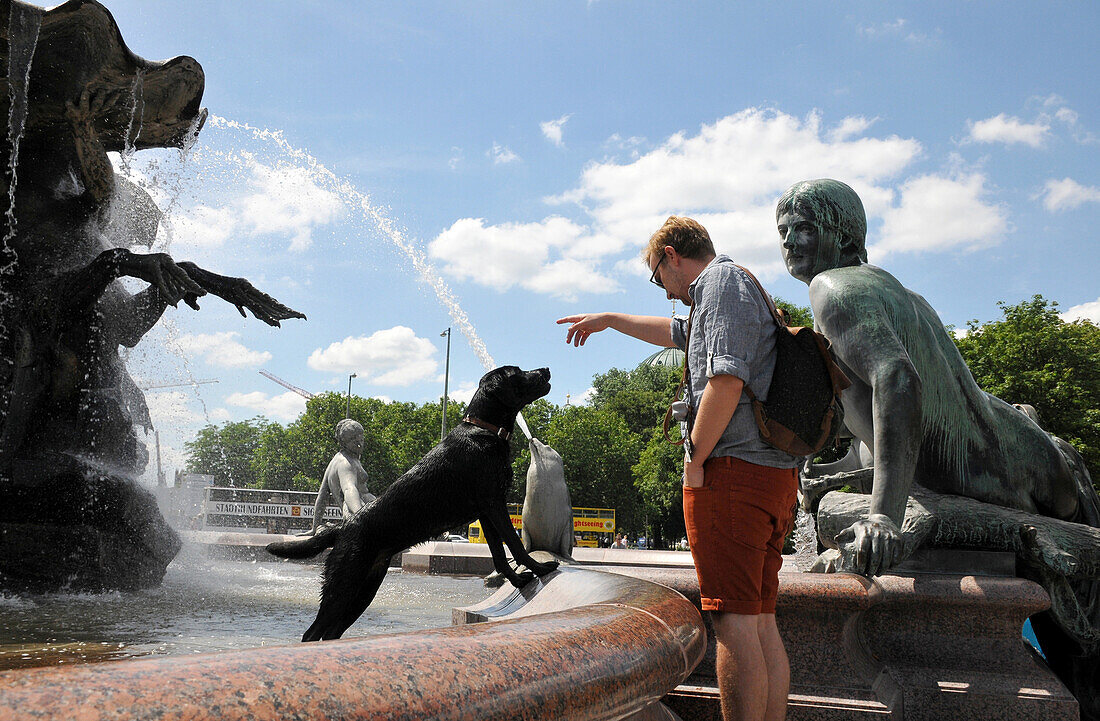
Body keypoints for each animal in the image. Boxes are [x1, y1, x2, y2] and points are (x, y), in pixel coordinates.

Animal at [266, 367, 558, 642]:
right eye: (517, 372)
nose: (545, 369)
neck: (483, 428)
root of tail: (343, 527)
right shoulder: (494, 502)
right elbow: (515, 544)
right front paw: (540, 568)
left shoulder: (486, 512)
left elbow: (499, 553)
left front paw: (518, 580)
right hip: (344, 584)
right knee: (312, 633)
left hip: (365, 589)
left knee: (331, 632)